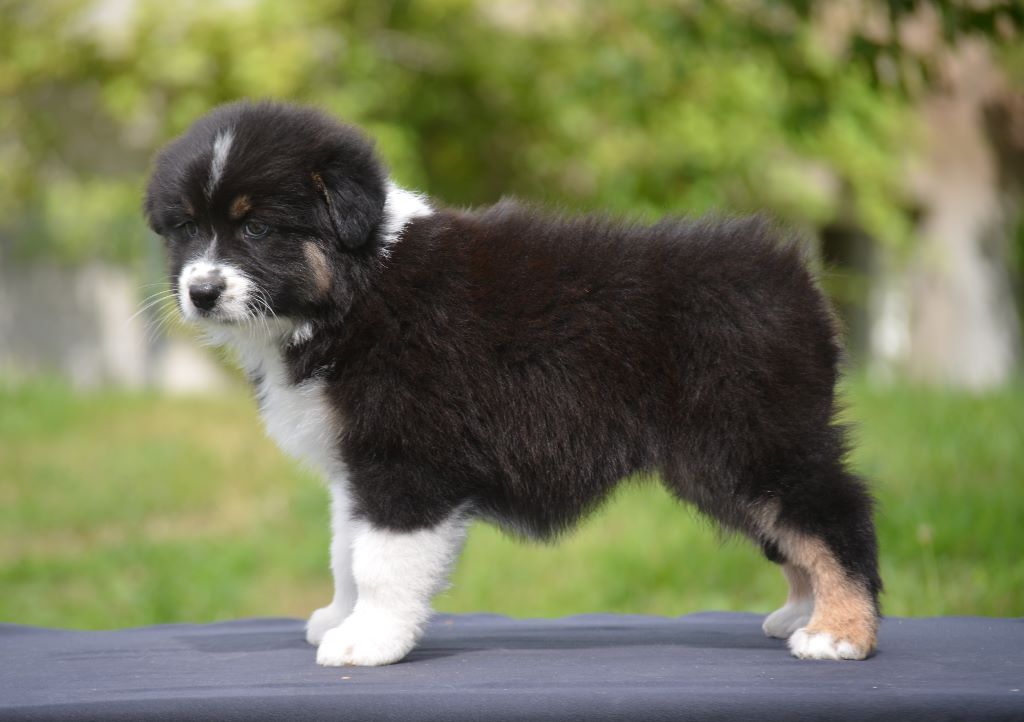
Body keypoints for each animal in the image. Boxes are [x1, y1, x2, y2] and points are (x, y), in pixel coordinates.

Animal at [144, 100, 882, 666]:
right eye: (187, 227)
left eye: (259, 227)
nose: (200, 292)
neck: (353, 294)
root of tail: (795, 278)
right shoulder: (356, 466)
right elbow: (344, 550)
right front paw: (338, 616)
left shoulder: (407, 460)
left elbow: (380, 561)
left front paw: (367, 642)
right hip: (722, 461)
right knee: (790, 530)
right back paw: (802, 613)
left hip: (753, 439)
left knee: (832, 515)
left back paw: (840, 632)